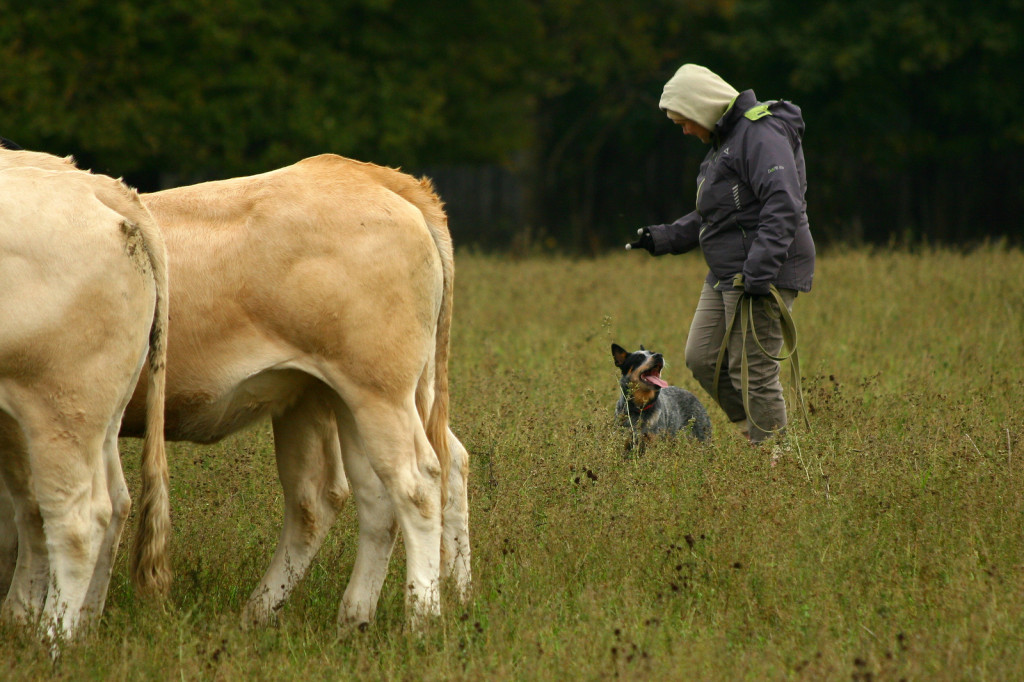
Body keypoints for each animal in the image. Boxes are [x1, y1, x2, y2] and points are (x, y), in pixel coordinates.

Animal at [0, 148, 169, 638]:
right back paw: (80, 629)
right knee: (113, 502)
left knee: (76, 521)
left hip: (59, 405)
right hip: (98, 411)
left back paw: (51, 638)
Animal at [117, 153, 468, 626]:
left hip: (379, 390)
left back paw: (422, 619)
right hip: (348, 392)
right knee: (364, 492)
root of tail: (362, 171)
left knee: (417, 485)